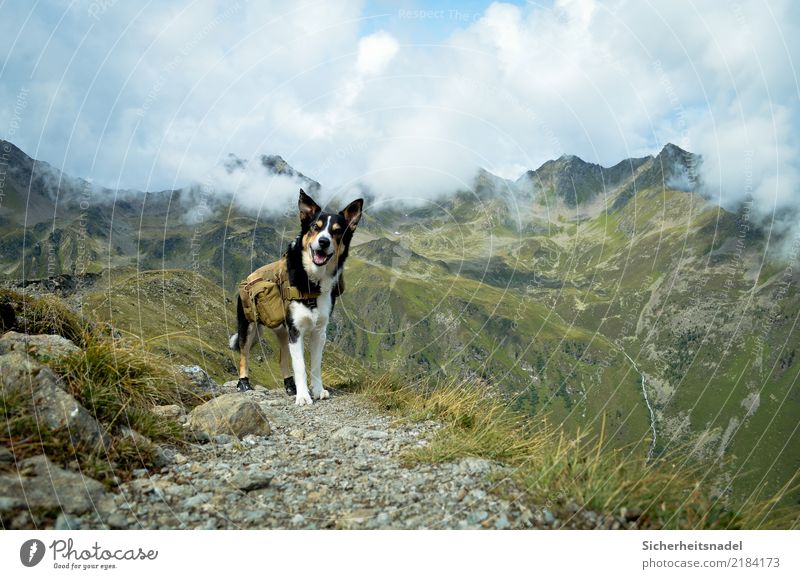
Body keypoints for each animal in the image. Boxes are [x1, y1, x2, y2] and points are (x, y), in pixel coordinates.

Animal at [227, 191, 360, 408]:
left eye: (337, 231)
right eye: (315, 227)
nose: (323, 242)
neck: (312, 282)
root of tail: (249, 277)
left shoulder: (319, 332)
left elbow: (315, 365)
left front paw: (317, 390)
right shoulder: (296, 331)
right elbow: (300, 366)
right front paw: (304, 396)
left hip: (282, 331)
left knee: (282, 359)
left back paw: (290, 385)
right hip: (248, 325)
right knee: (244, 354)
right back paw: (244, 383)